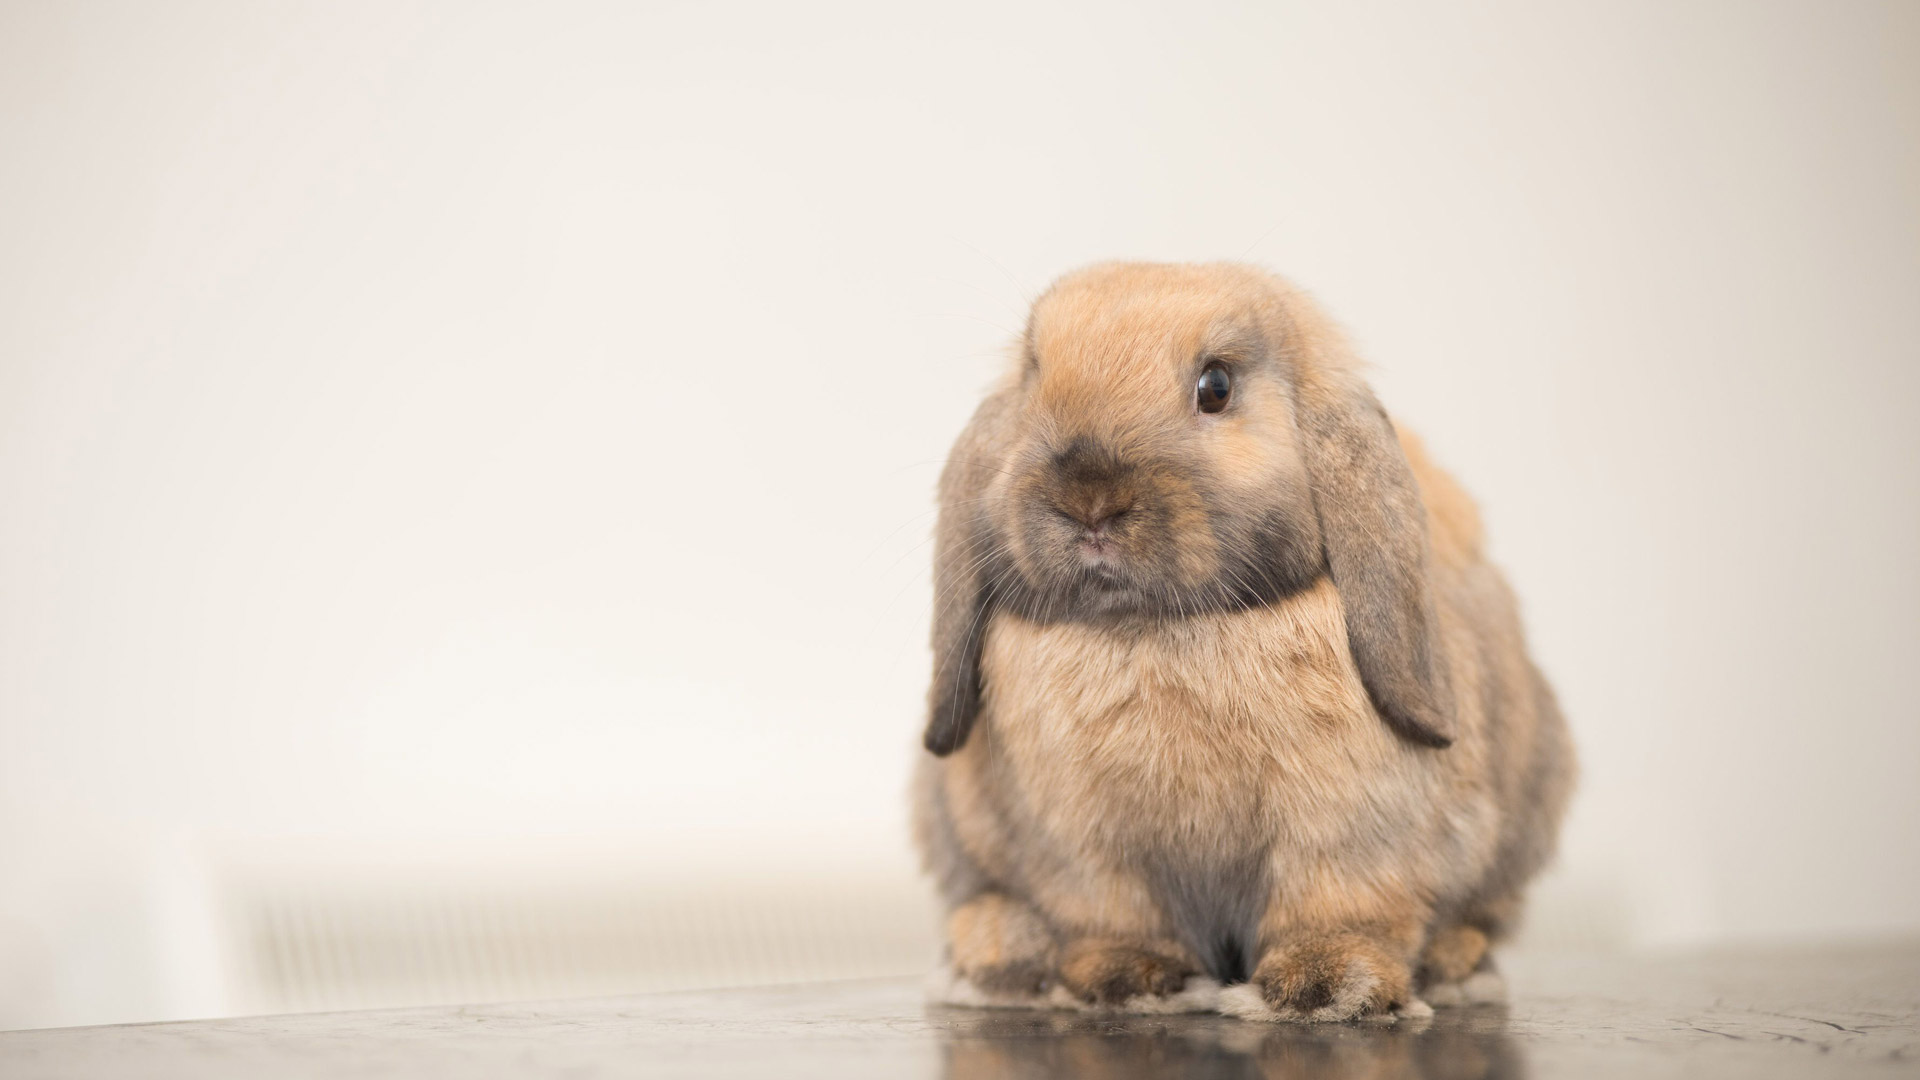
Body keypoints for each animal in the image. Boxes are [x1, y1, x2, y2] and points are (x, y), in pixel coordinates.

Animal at [912, 262, 1574, 1022]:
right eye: (1034, 373)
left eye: (1216, 387)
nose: (1089, 500)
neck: (1153, 627)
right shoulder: (1079, 844)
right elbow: (1108, 914)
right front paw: (1128, 980)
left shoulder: (1349, 829)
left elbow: (1341, 904)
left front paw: (1326, 988)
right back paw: (997, 954)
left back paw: (1453, 963)